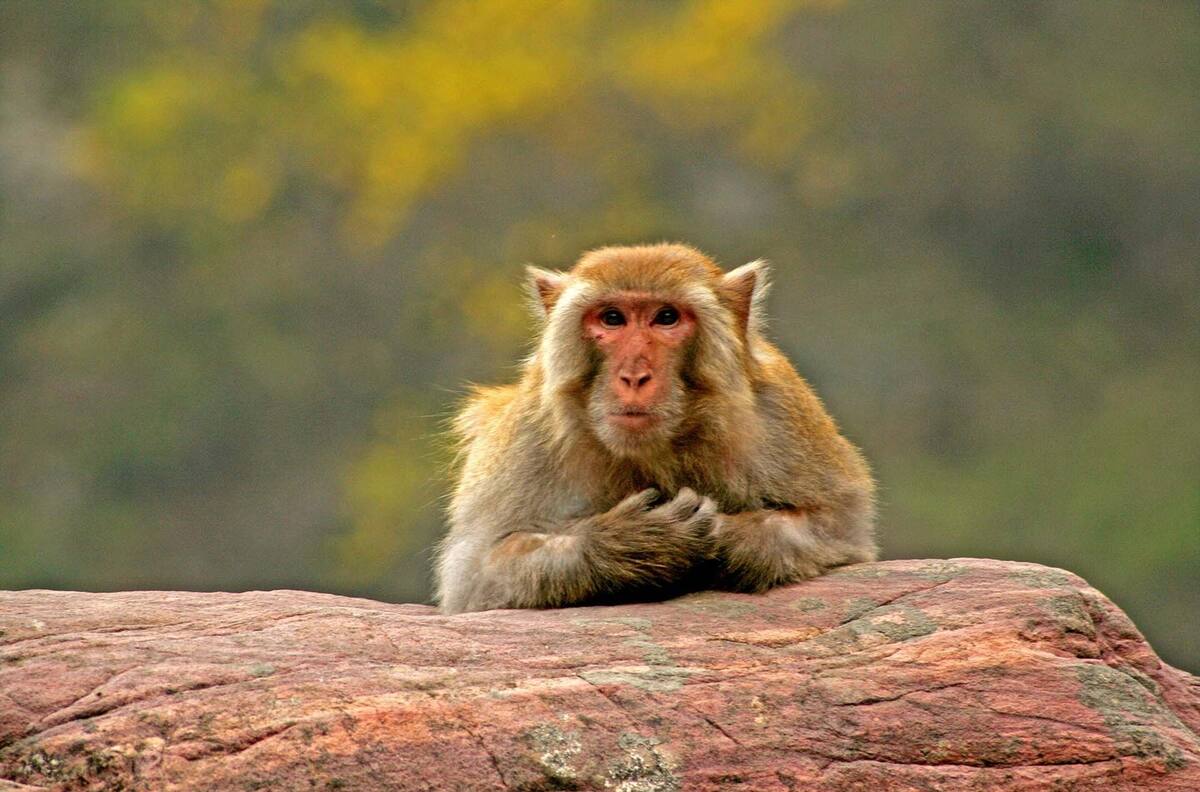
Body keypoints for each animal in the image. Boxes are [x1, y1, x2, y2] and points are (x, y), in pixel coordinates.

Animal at [435, 243, 876, 613]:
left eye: (666, 317)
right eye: (613, 318)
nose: (634, 376)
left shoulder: (779, 411)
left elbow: (839, 526)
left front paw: (734, 536)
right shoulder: (530, 432)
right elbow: (480, 572)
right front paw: (631, 544)